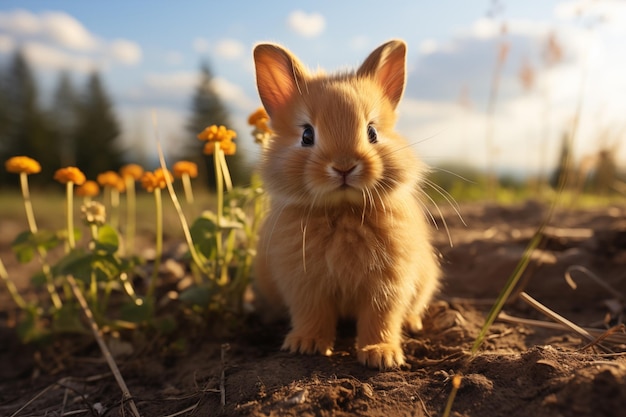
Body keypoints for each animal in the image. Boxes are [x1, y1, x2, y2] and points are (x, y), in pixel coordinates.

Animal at [250, 40, 438, 368]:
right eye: (307, 135)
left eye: (372, 132)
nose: (344, 166)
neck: (343, 209)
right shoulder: (305, 284)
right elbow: (312, 313)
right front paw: (307, 345)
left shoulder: (387, 284)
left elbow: (381, 317)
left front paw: (381, 355)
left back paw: (412, 323)